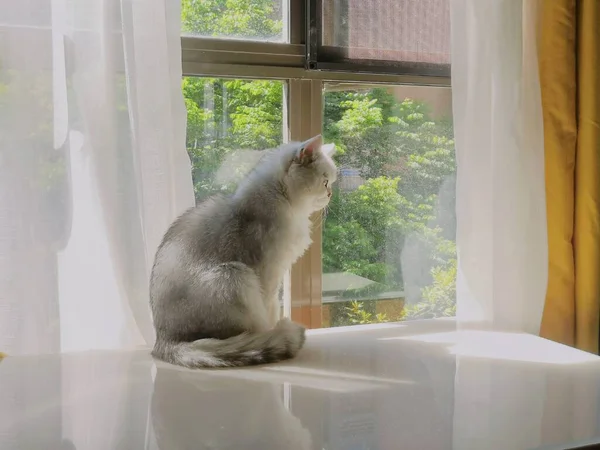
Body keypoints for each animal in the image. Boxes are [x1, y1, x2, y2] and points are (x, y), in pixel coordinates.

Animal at [150, 137, 338, 370]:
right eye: (325, 181)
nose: (330, 194)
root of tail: (163, 341)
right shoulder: (268, 274)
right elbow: (270, 311)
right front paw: (272, 332)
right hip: (234, 275)